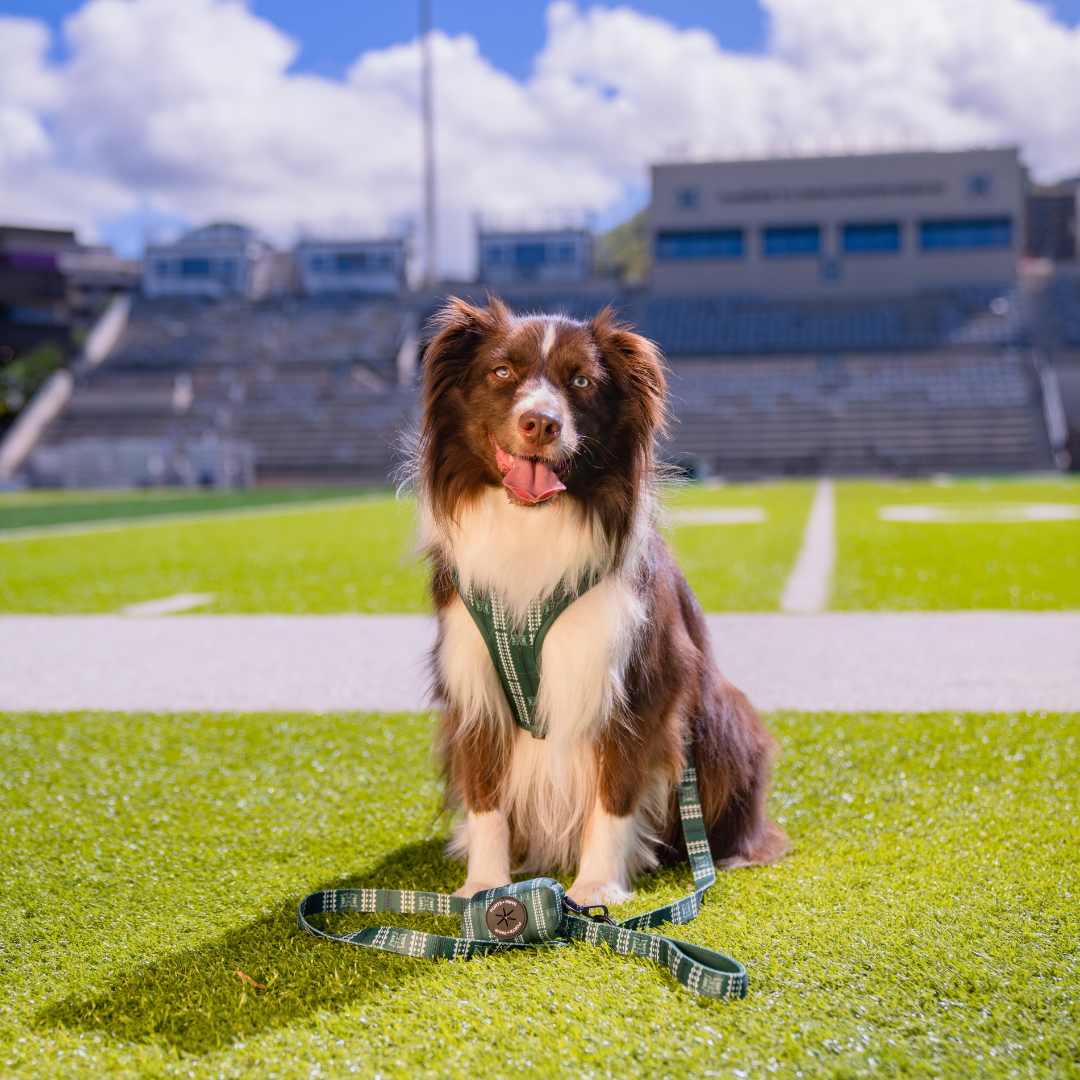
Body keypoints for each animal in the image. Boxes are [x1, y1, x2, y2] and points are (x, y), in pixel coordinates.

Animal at [412, 293, 786, 902]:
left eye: (582, 381)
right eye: (502, 372)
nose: (541, 423)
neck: (534, 525)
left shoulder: (636, 678)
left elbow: (615, 793)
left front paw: (596, 891)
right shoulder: (472, 676)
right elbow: (486, 796)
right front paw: (484, 889)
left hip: (725, 718)